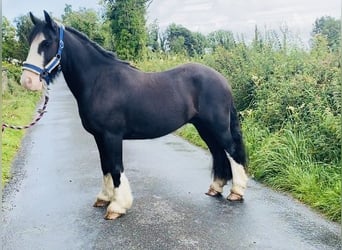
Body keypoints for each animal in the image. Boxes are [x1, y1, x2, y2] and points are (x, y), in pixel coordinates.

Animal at [21, 10, 247, 220]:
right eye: (30, 41)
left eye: (46, 42)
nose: (27, 81)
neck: (99, 81)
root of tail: (222, 79)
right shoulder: (99, 137)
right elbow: (105, 166)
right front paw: (104, 198)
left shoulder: (112, 136)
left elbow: (115, 167)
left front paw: (117, 207)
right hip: (204, 128)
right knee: (218, 152)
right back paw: (216, 188)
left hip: (217, 127)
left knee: (231, 151)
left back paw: (236, 192)